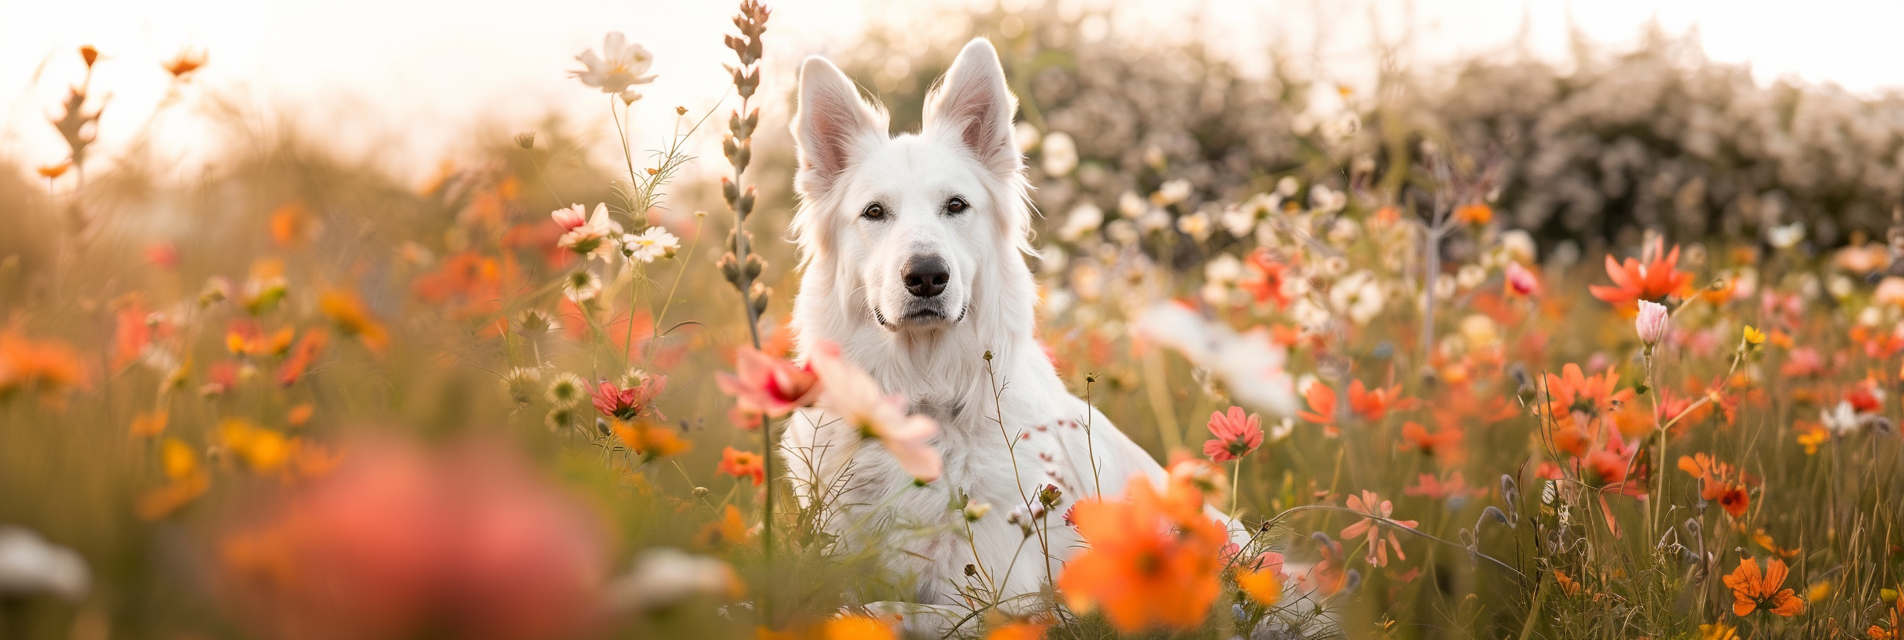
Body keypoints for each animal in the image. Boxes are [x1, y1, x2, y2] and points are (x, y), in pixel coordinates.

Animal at [776, 37, 1249, 620]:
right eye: (874, 212)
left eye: (956, 205)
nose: (927, 276)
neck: (924, 393)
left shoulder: (992, 602)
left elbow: (890, 613)